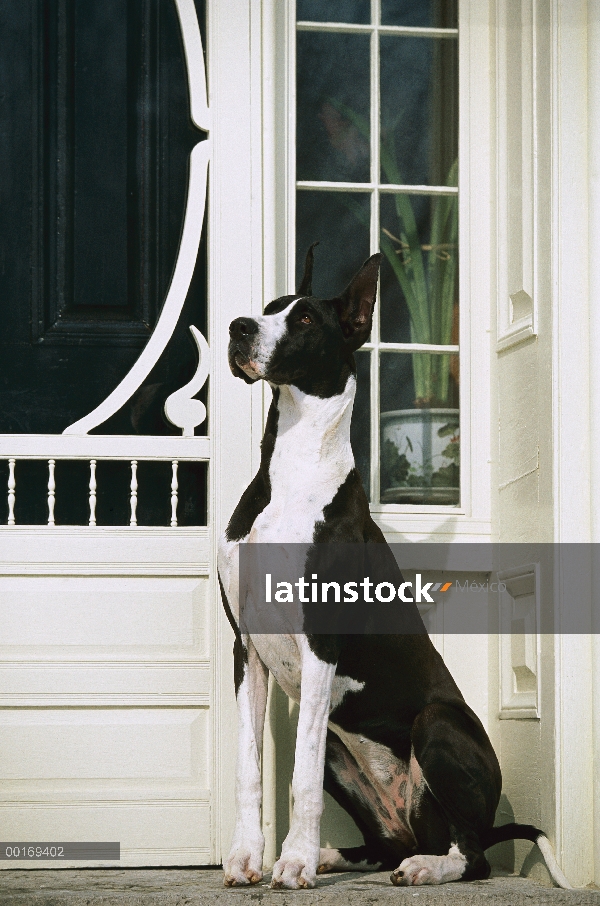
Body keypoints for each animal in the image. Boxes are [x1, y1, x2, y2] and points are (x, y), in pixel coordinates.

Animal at [218, 249, 576, 888]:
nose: (238, 328)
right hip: (345, 753)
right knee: (388, 839)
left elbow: (297, 778)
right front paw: (247, 858)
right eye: (268, 308)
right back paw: (341, 854)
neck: (293, 469)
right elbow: (250, 767)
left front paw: (293, 863)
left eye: (304, 319)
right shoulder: (248, 649)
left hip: (433, 725)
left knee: (472, 856)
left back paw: (422, 866)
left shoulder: (320, 644)